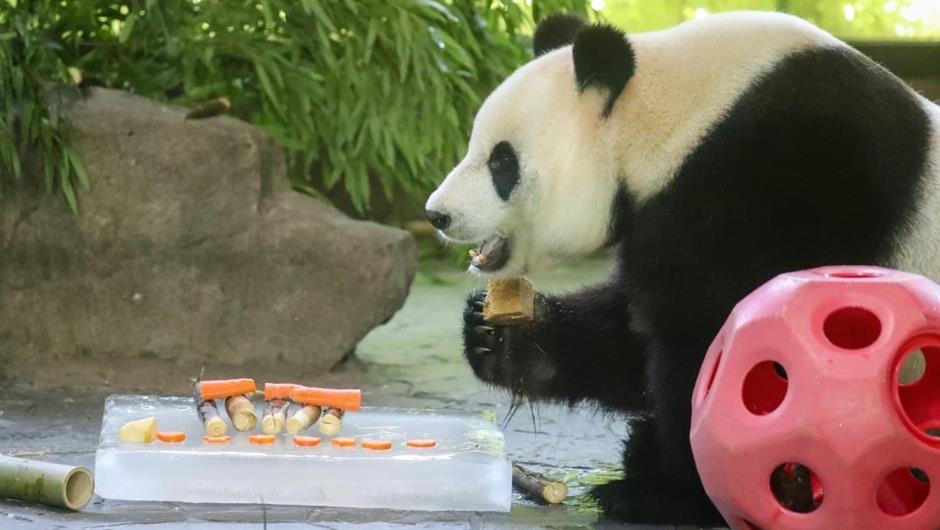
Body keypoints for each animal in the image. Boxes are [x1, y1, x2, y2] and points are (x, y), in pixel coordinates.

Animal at [426, 10, 940, 520]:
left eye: (502, 161)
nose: (437, 214)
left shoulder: (773, 180)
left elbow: (712, 340)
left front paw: (668, 492)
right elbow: (631, 331)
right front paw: (501, 338)